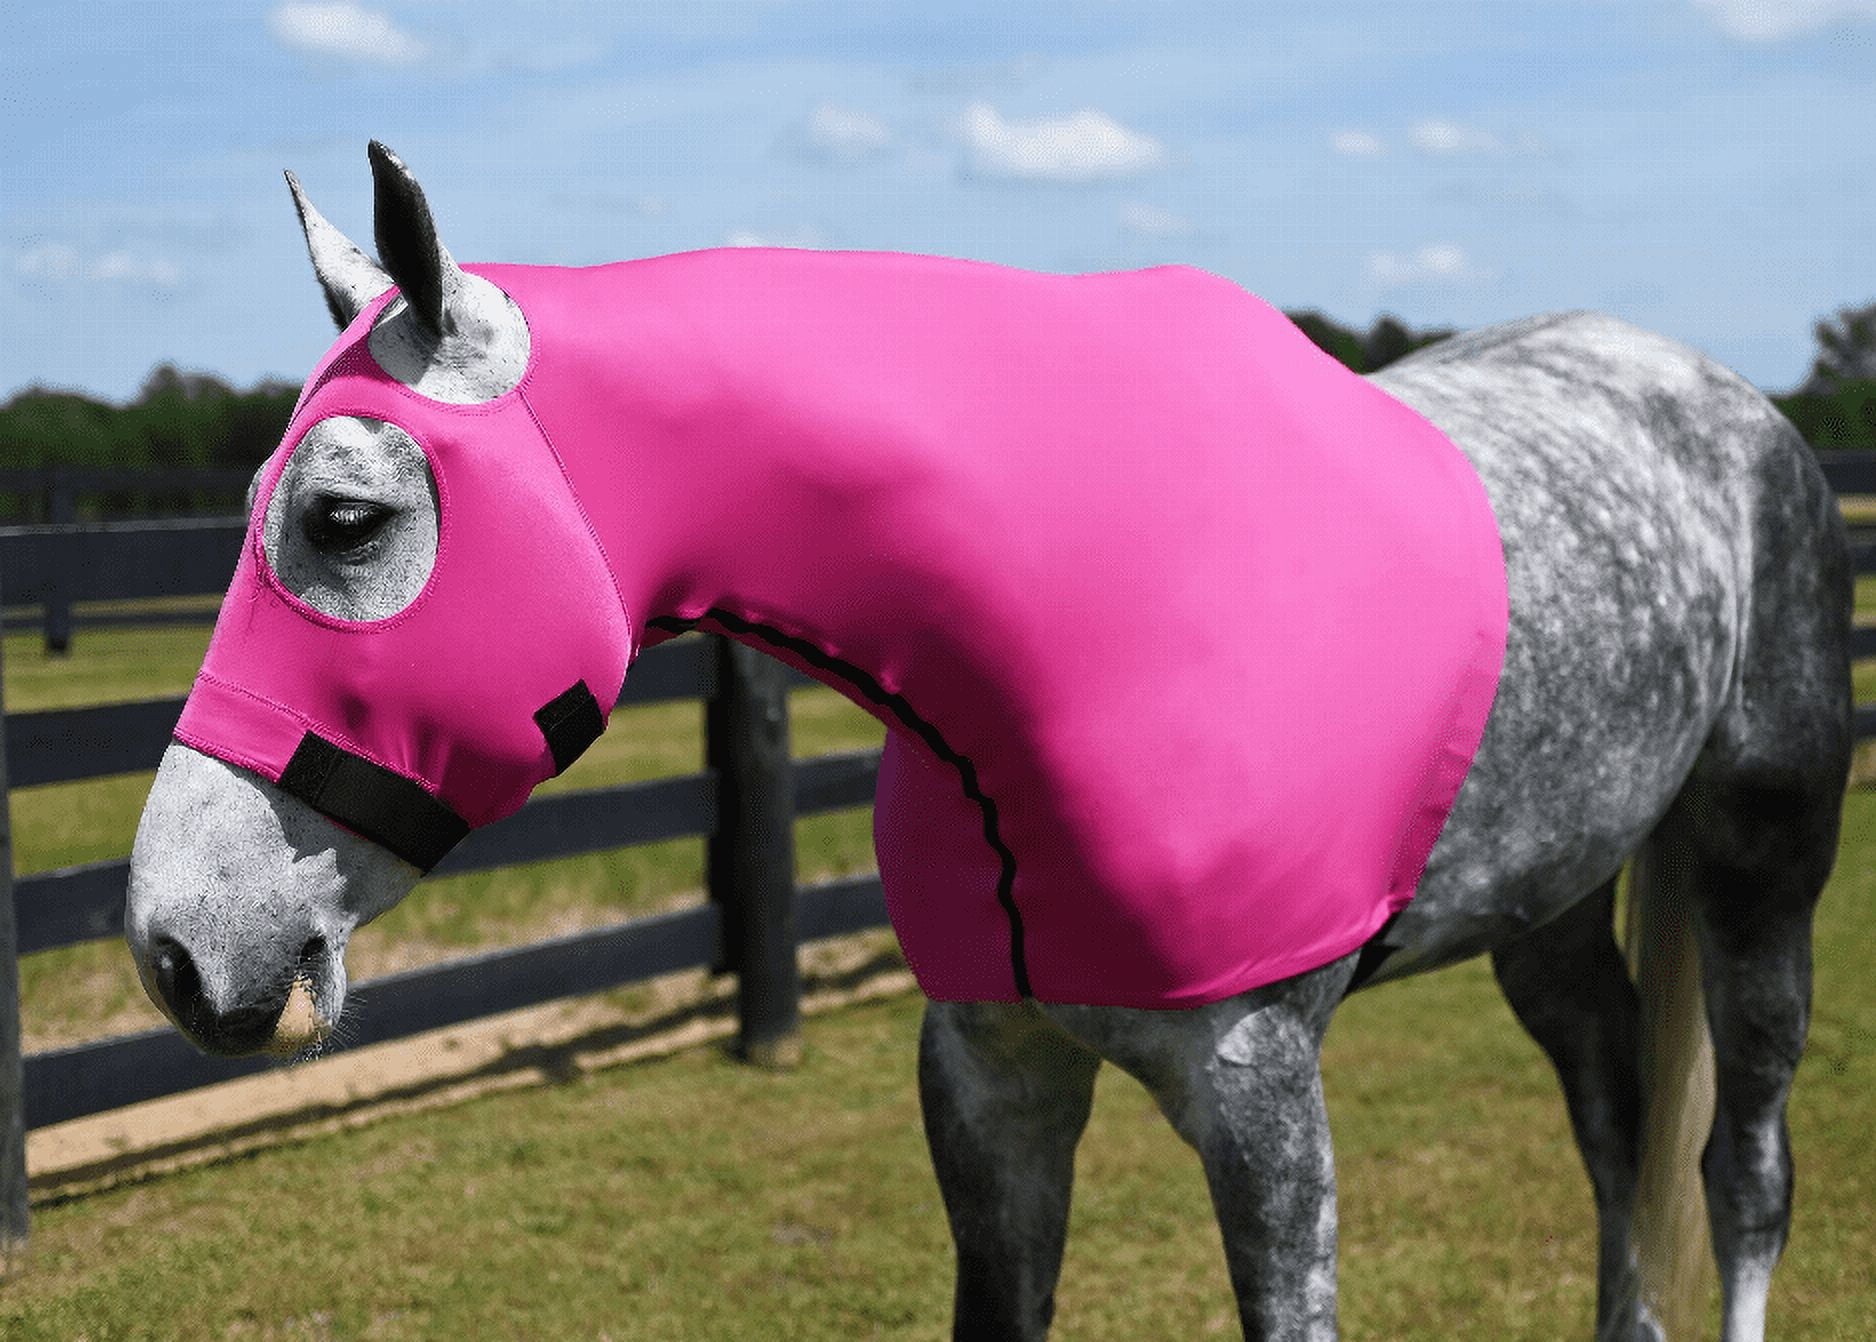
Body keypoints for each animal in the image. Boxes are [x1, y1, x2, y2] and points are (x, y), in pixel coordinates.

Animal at [124, 142, 1851, 1341]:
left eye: (345, 519)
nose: (173, 945)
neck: (1086, 615)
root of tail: (1733, 409)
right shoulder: (988, 1069)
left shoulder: (1265, 1094)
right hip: (1546, 900)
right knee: (1616, 1107)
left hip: (1761, 869)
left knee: (1742, 1168)